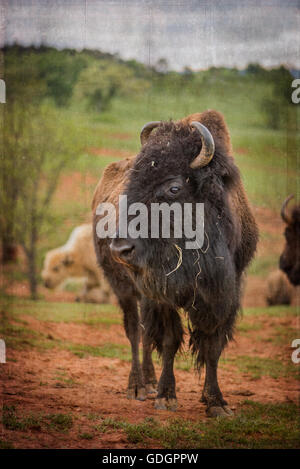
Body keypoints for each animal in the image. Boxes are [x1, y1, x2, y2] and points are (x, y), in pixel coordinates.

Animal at [91, 110, 258, 416]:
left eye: (174, 187)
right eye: (132, 183)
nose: (120, 248)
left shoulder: (226, 294)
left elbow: (212, 346)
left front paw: (215, 402)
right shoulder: (161, 295)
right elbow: (169, 340)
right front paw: (166, 397)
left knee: (145, 333)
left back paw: (149, 382)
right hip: (123, 289)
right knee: (134, 330)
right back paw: (138, 387)